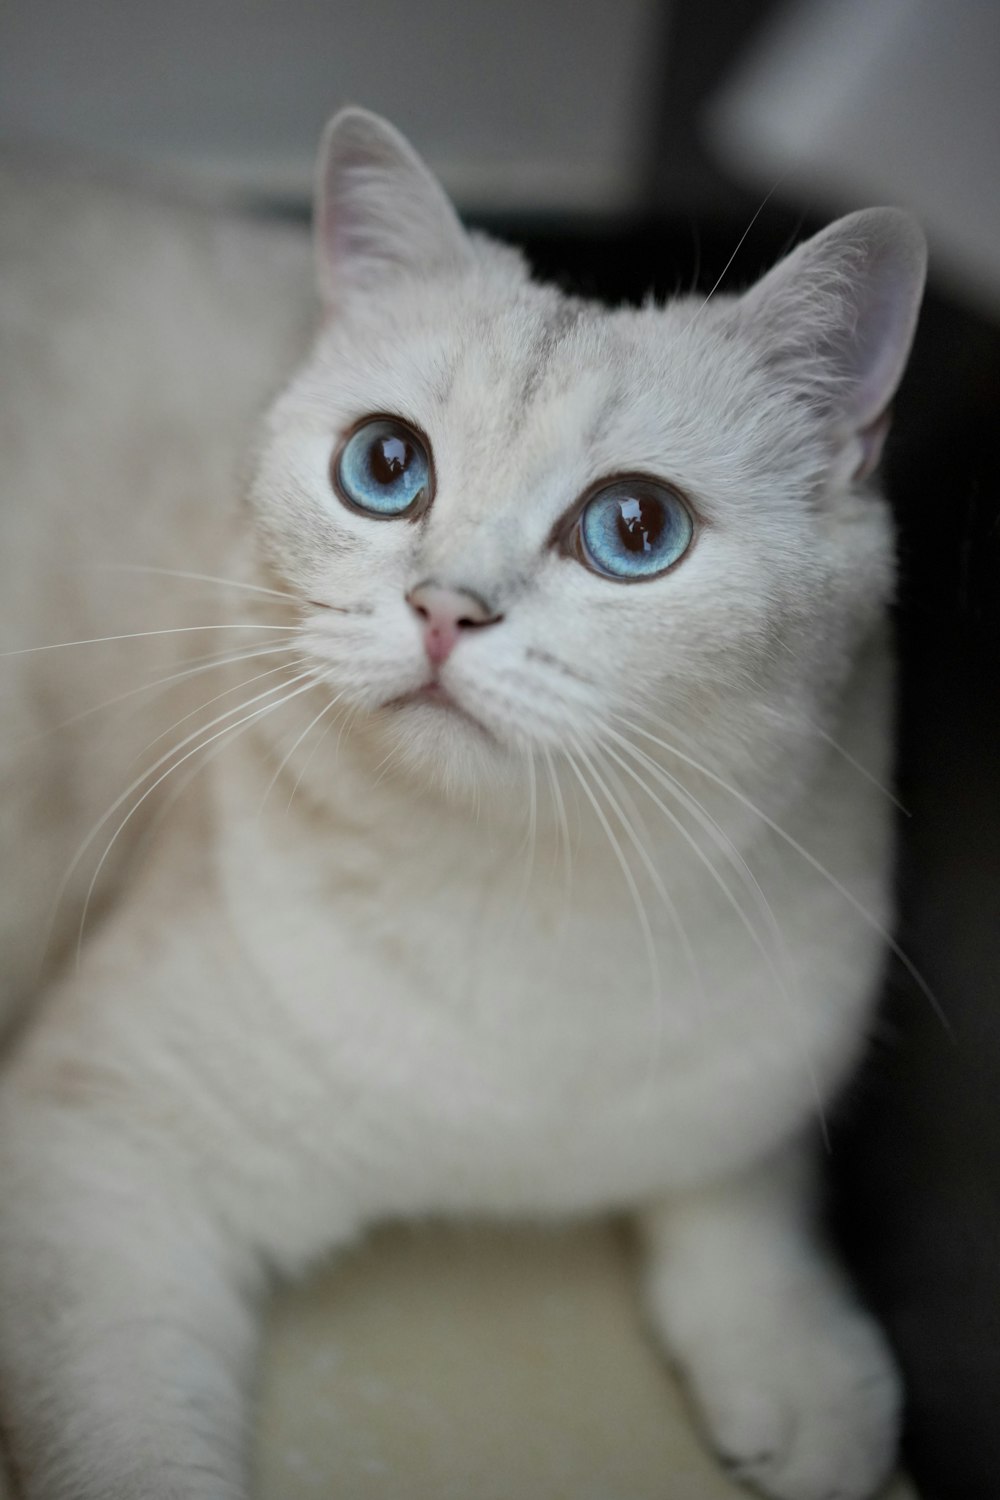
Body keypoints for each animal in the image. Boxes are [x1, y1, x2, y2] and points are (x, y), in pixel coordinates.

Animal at [0, 108, 923, 1500]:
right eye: (384, 466)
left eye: (634, 528)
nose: (445, 609)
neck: (527, 913)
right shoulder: (95, 1161)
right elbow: (131, 1448)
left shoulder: (764, 1079)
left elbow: (749, 1204)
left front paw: (811, 1387)